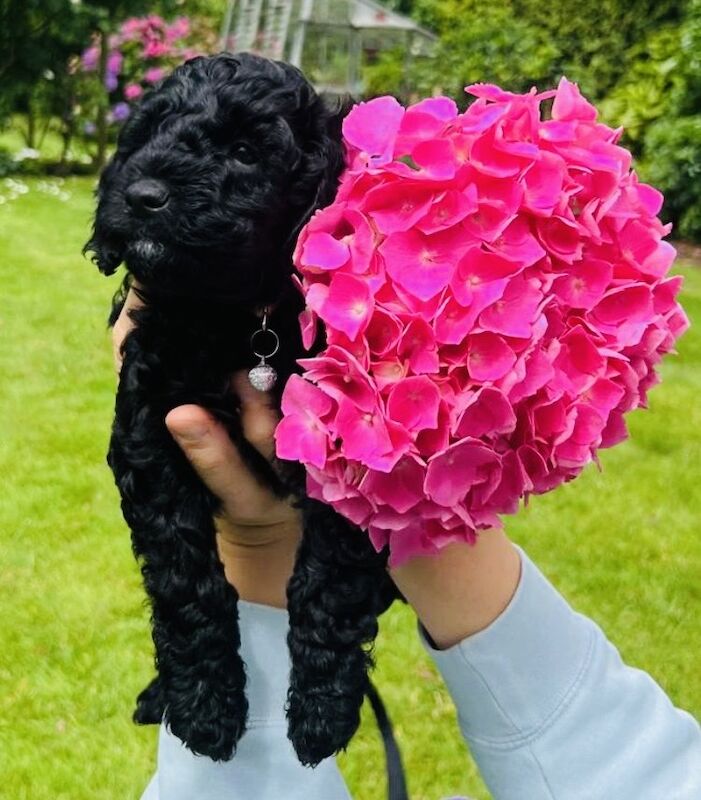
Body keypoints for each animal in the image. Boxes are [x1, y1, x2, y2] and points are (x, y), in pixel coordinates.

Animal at [83, 51, 400, 768]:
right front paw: (205, 706)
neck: (232, 320)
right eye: (150, 131)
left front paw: (321, 711)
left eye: (245, 152)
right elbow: (186, 581)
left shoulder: (344, 451)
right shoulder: (149, 435)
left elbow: (328, 583)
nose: (142, 195)